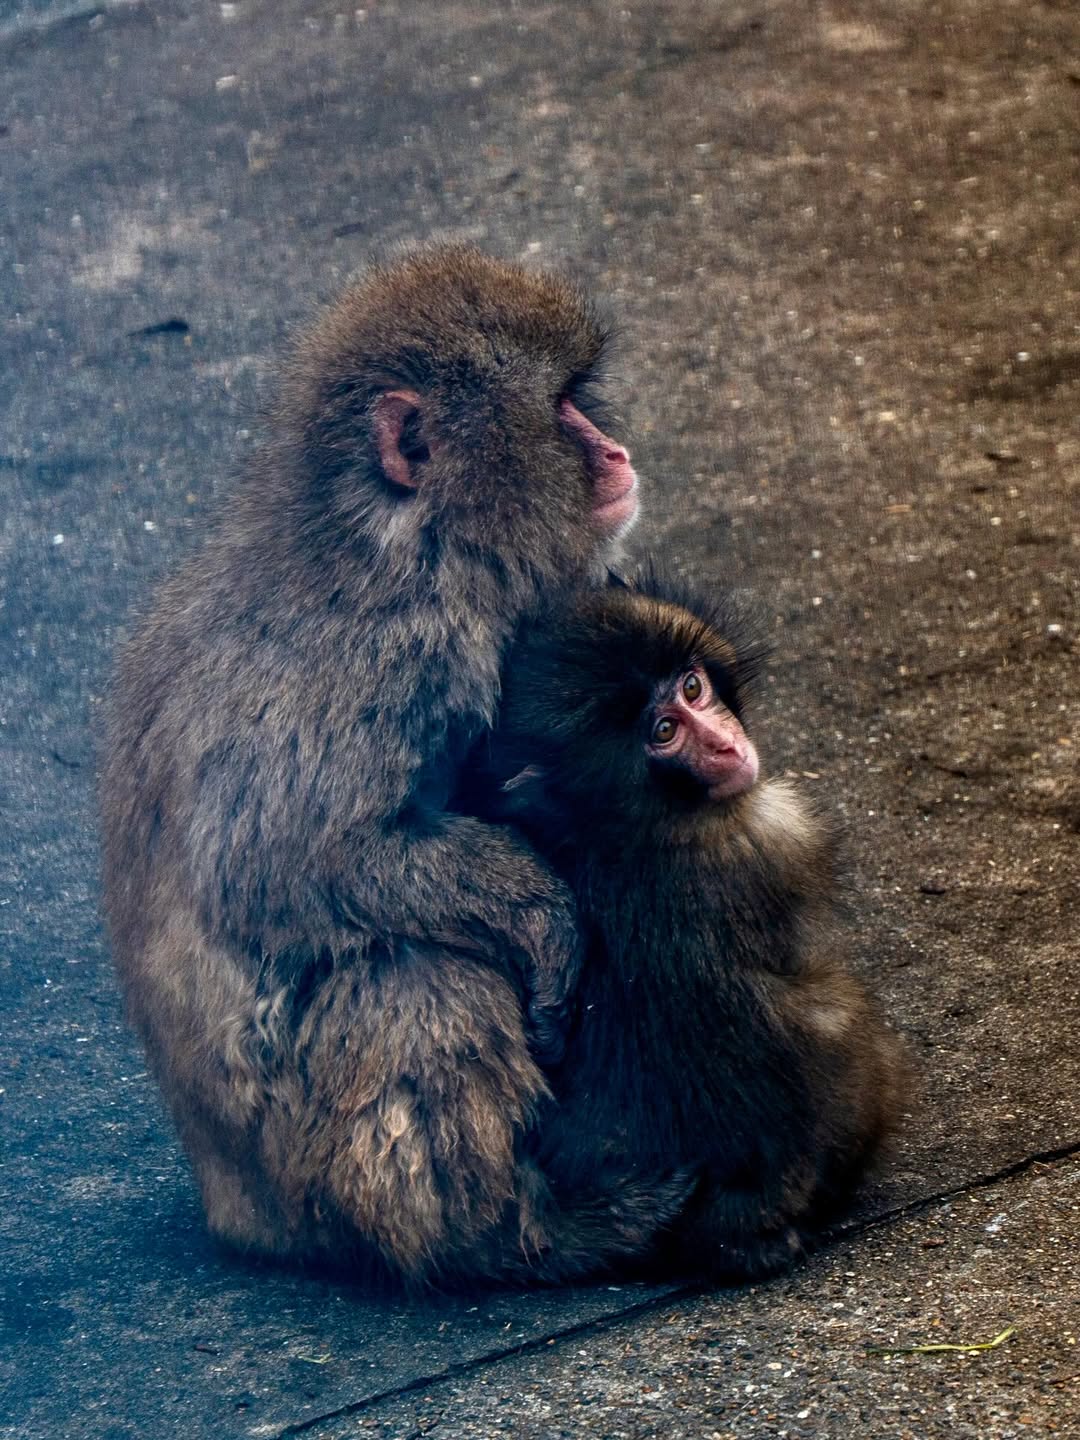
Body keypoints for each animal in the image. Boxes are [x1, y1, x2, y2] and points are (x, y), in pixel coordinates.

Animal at [100, 245, 692, 1288]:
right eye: (560, 411)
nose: (617, 455)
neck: (417, 550)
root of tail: (239, 1213)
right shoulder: (383, 657)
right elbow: (291, 861)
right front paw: (544, 916)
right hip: (314, 1171)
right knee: (414, 976)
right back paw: (518, 1235)